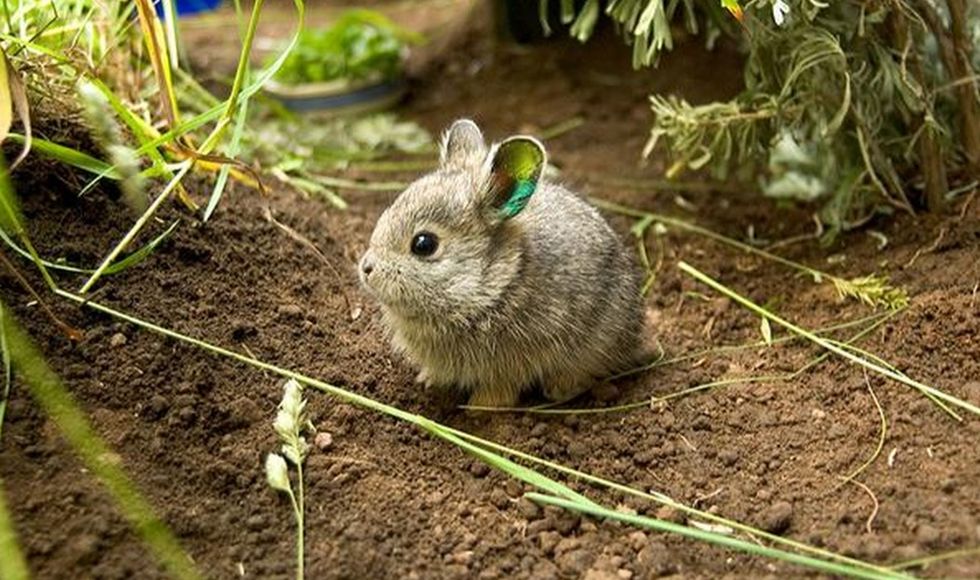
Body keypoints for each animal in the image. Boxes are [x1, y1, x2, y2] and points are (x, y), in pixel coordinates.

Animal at [356, 119, 648, 408]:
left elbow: (501, 389)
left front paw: (479, 407)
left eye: (424, 244)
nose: (366, 269)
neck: (494, 284)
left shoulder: (513, 362)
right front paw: (428, 380)